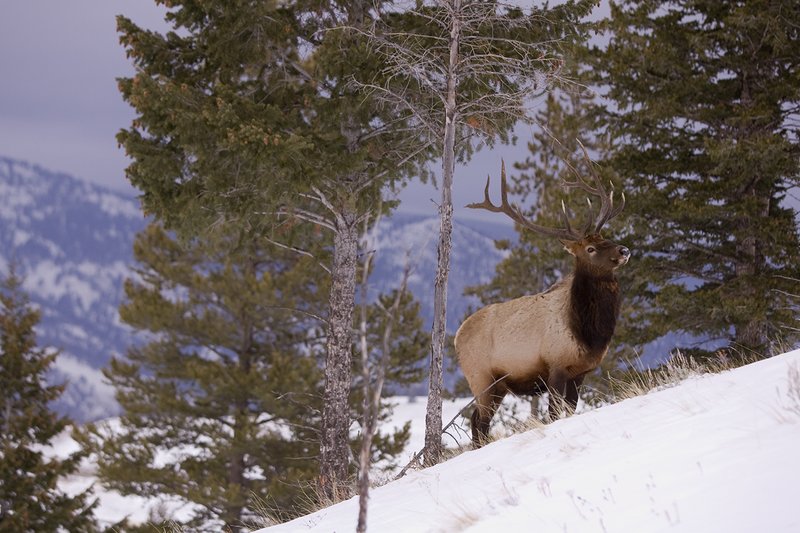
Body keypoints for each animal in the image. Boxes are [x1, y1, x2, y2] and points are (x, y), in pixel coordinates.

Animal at [455, 149, 629, 447]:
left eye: (605, 236)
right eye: (591, 248)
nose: (624, 250)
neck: (588, 333)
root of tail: (456, 336)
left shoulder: (580, 373)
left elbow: (570, 410)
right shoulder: (555, 367)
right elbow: (554, 414)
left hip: (498, 386)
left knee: (478, 422)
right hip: (481, 379)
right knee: (479, 423)